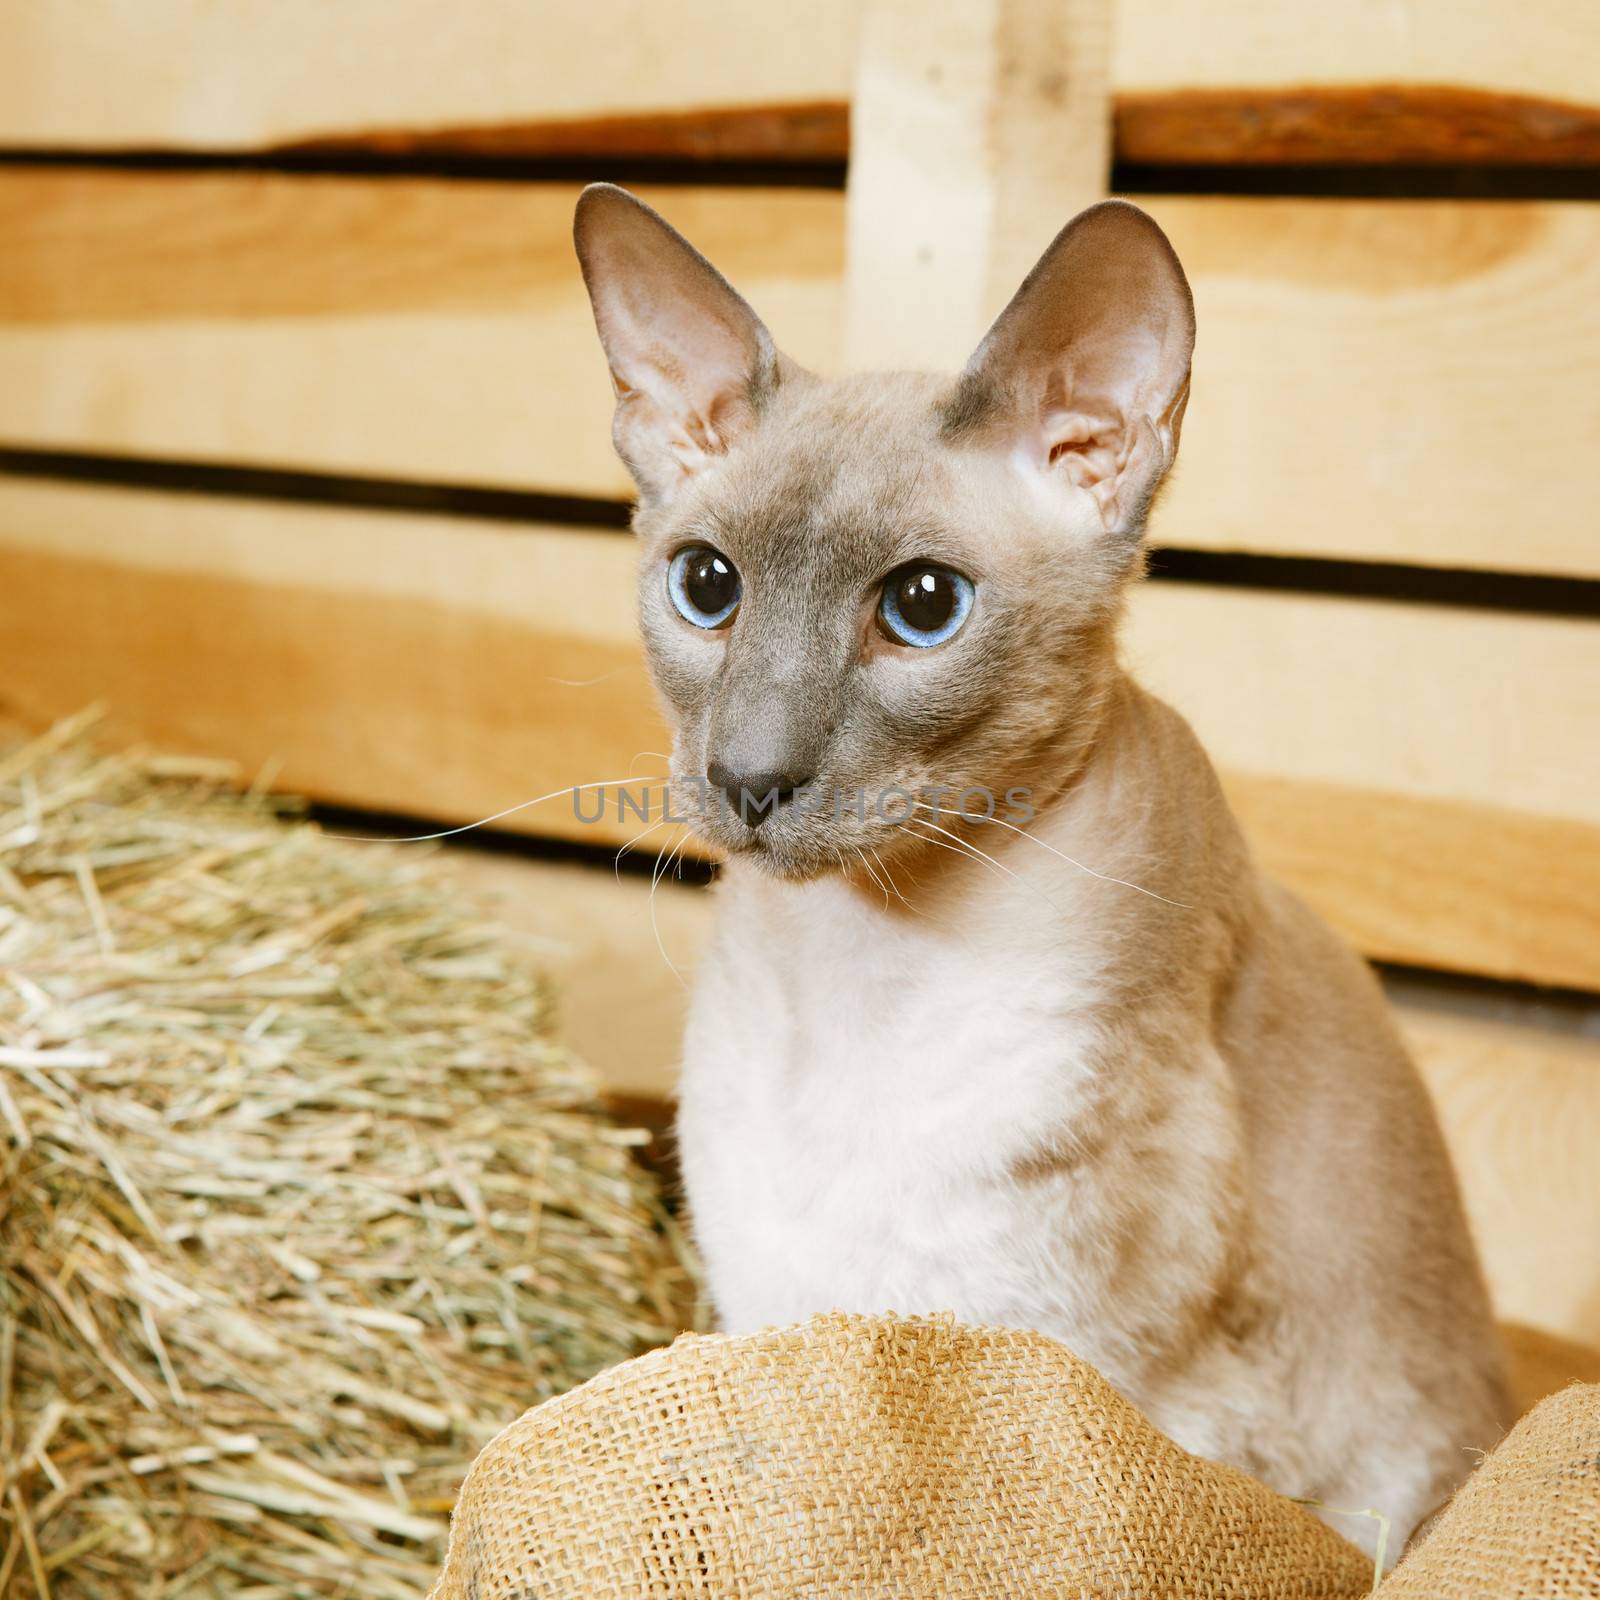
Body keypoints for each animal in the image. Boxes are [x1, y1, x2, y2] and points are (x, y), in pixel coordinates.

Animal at [576, 178, 1510, 1561]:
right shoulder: (777, 1311)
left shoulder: (1077, 1381)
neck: (864, 962)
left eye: (922, 606)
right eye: (706, 588)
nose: (748, 777)